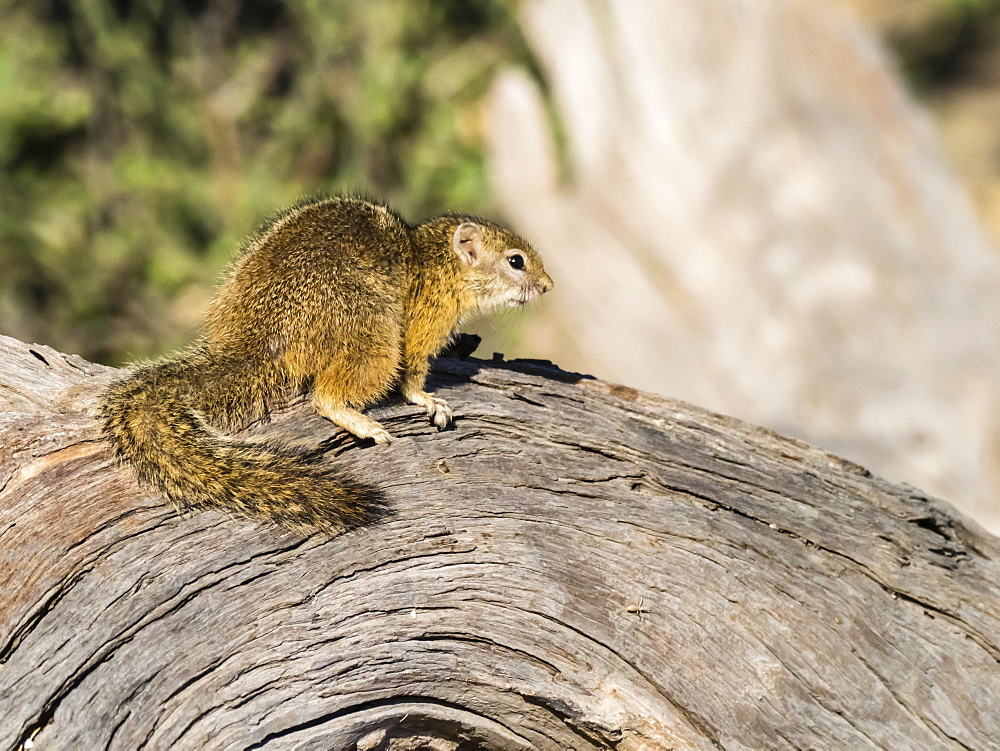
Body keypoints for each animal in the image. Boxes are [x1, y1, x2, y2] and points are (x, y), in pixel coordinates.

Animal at [101, 194, 556, 536]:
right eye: (516, 261)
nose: (549, 286)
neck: (432, 263)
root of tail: (258, 340)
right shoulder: (424, 323)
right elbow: (411, 376)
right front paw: (428, 401)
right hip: (372, 334)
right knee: (326, 396)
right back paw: (362, 423)